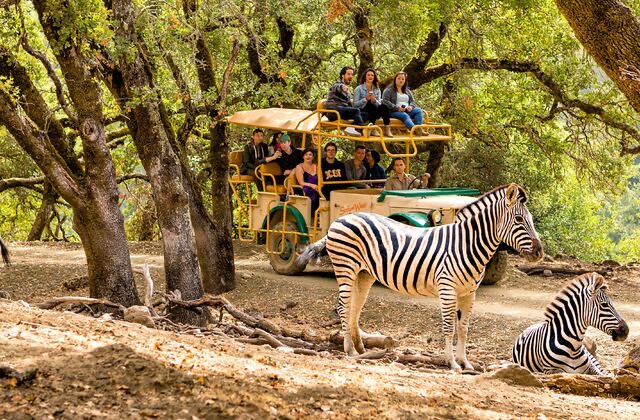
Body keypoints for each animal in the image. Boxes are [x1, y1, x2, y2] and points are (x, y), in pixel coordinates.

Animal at [295, 183, 544, 371]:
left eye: (531, 219)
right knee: (343, 306)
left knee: (355, 307)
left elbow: (464, 328)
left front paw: (466, 362)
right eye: (519, 220)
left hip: (364, 274)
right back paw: (348, 350)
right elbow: (449, 327)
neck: (466, 244)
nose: (539, 252)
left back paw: (360, 349)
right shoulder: (447, 288)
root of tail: (339, 220)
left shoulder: (469, 292)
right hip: (345, 267)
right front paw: (452, 363)